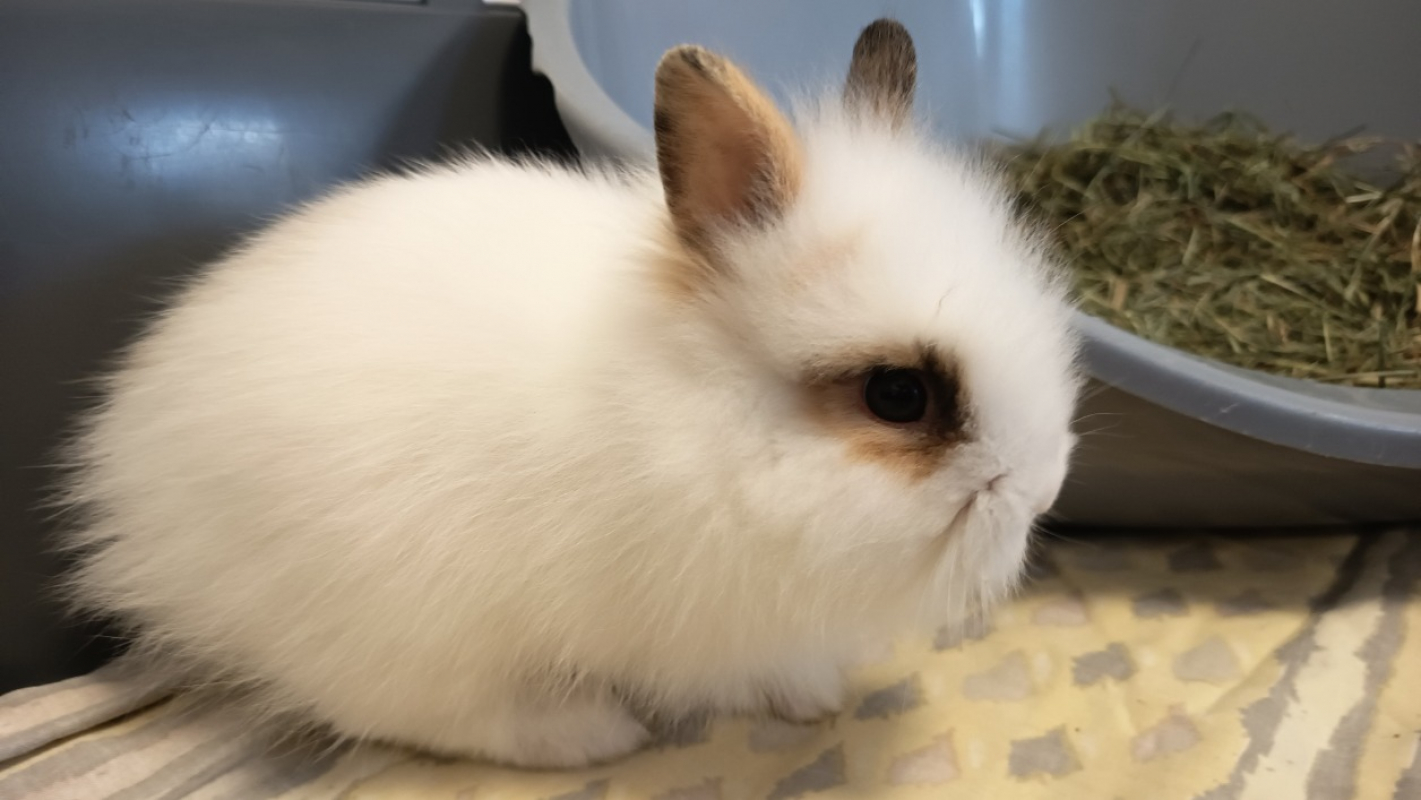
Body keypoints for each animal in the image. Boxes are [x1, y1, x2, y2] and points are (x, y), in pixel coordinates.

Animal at [55, 19, 1082, 769]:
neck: (704, 420)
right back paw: (587, 736)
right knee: (415, 714)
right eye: (898, 395)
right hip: (403, 628)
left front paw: (816, 694)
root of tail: (122, 480)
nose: (1041, 493)